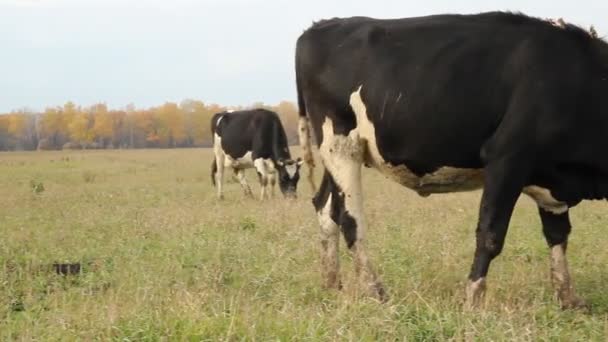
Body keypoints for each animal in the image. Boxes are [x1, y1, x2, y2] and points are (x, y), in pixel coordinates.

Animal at [296, 12, 608, 308]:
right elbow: (490, 235)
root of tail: (320, 26)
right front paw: (472, 300)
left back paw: (332, 284)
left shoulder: (551, 180)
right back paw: (375, 291)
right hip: (339, 143)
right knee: (350, 220)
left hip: (339, 153)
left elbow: (558, 235)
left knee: (325, 207)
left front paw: (568, 298)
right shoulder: (508, 157)